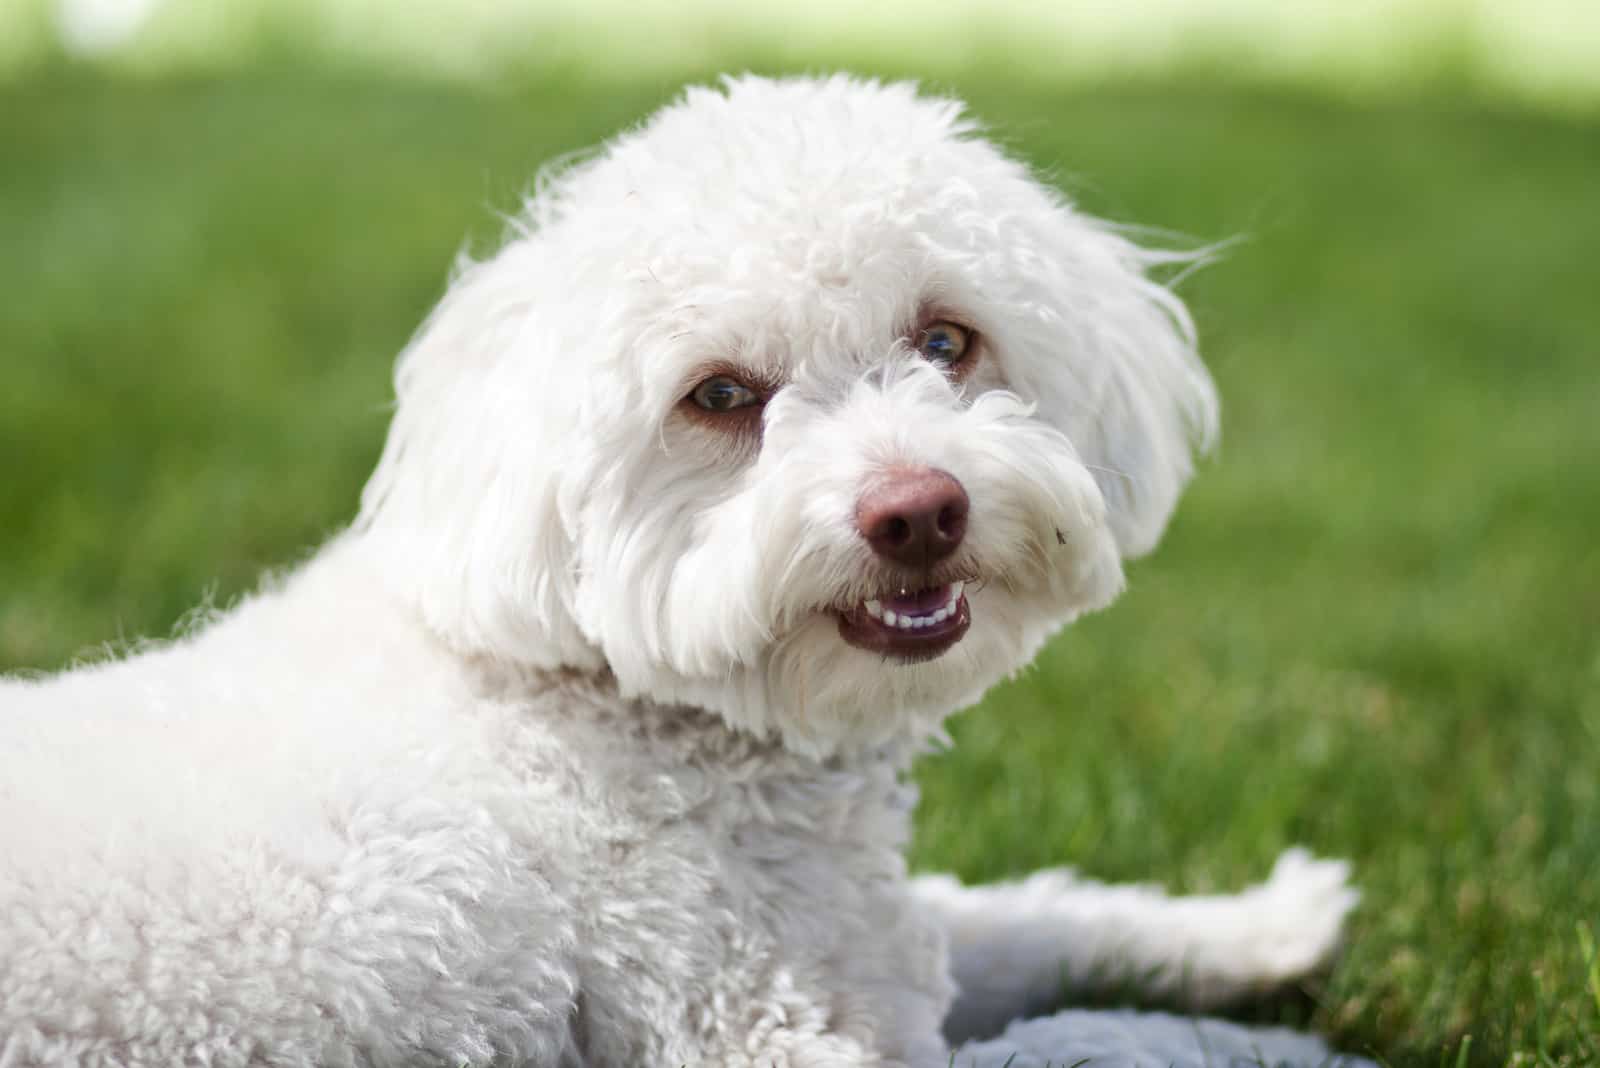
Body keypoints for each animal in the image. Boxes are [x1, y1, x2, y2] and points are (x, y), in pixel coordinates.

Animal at [0, 77, 1363, 1068]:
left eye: (944, 340)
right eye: (718, 398)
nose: (917, 512)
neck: (630, 711)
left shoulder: (862, 930)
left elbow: (1036, 915)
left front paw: (1265, 924)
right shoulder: (758, 1025)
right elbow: (1102, 1042)